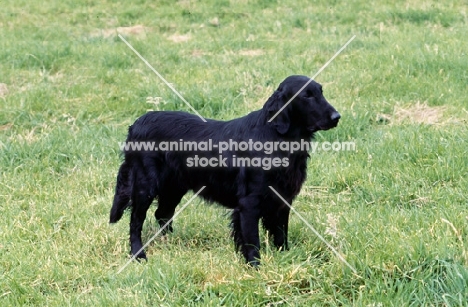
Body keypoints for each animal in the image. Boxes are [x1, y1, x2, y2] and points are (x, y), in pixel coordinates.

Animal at [109, 75, 340, 268]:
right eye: (306, 96)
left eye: (320, 91)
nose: (337, 116)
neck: (277, 137)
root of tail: (135, 125)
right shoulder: (249, 203)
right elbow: (252, 241)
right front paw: (256, 269)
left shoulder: (283, 198)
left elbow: (281, 234)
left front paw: (286, 257)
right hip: (145, 186)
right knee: (136, 221)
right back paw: (138, 255)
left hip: (174, 187)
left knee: (162, 214)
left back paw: (170, 242)